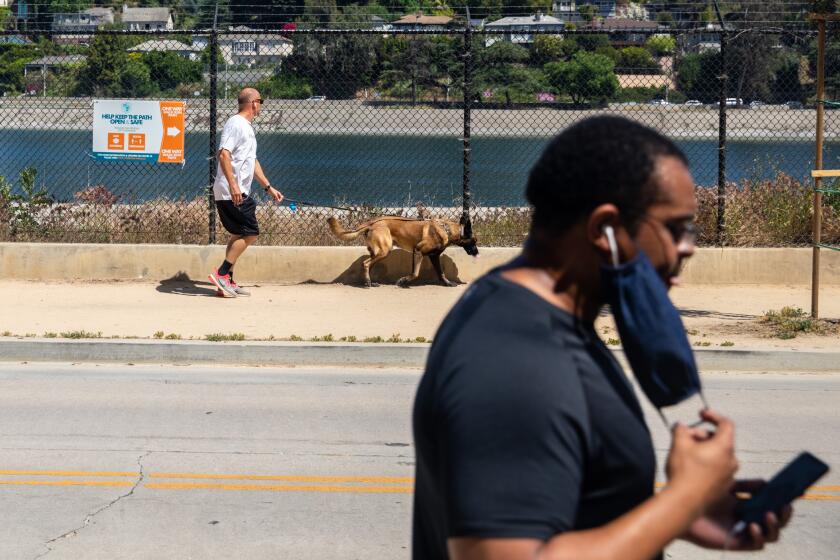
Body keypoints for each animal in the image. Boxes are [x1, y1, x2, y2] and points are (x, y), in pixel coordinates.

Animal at [328, 217, 480, 288]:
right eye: (474, 241)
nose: (477, 253)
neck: (446, 229)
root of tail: (371, 223)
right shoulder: (418, 251)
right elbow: (415, 273)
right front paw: (403, 281)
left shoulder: (434, 257)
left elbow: (441, 273)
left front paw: (447, 283)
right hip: (384, 251)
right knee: (366, 263)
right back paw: (368, 283)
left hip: (378, 252)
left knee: (368, 264)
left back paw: (368, 282)